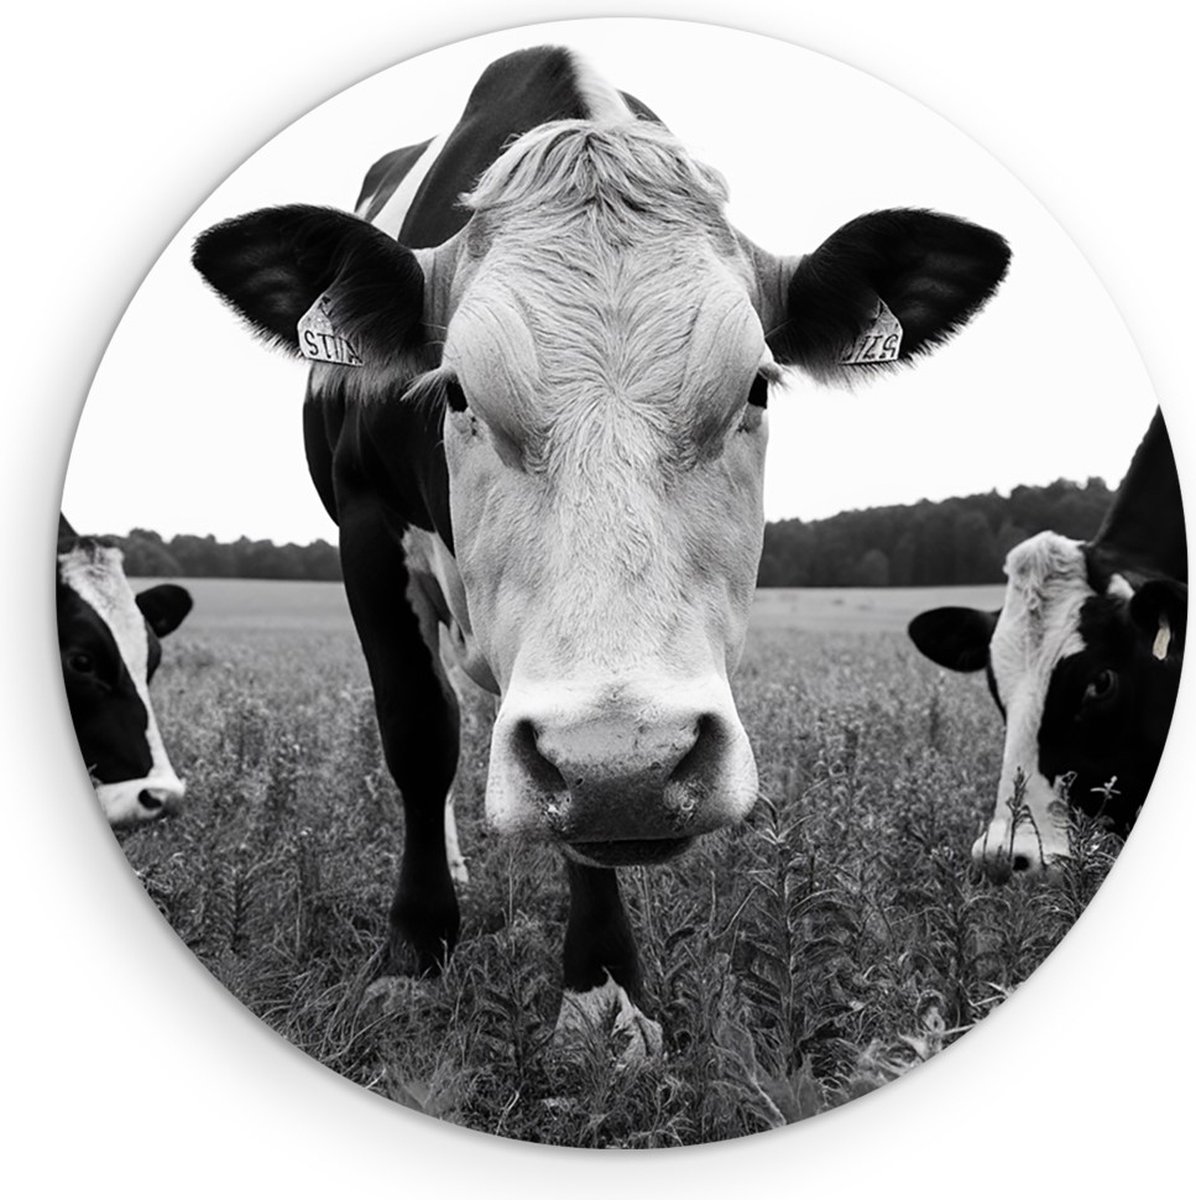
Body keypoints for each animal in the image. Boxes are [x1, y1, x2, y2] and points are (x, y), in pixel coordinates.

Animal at [193, 45, 1009, 1050]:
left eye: (758, 388)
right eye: (454, 391)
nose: (627, 763)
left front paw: (603, 996)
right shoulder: (365, 526)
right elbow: (418, 735)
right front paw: (414, 955)